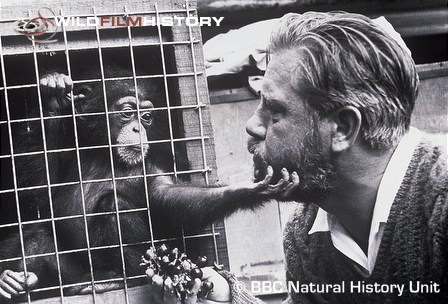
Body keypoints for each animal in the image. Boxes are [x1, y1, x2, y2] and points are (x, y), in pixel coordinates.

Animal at [0, 70, 300, 300]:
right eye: (127, 113)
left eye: (146, 117)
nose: (137, 128)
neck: (107, 155)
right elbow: (36, 194)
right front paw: (52, 93)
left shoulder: (156, 164)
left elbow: (170, 196)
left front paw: (248, 189)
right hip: (74, 275)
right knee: (38, 238)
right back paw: (13, 283)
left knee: (113, 206)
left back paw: (115, 277)